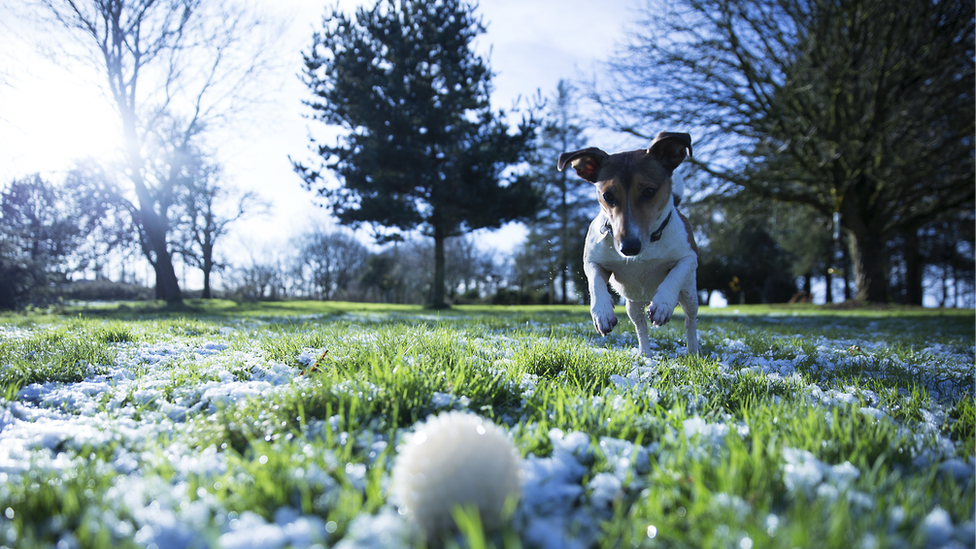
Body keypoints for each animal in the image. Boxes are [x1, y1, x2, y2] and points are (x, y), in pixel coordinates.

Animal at [556, 132, 700, 356]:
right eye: (607, 195)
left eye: (649, 191)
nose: (629, 248)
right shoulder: (592, 260)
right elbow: (594, 279)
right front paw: (602, 312)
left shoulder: (689, 257)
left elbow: (675, 273)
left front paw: (663, 304)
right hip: (633, 304)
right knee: (640, 326)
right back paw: (645, 354)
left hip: (689, 293)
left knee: (690, 320)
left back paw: (693, 351)